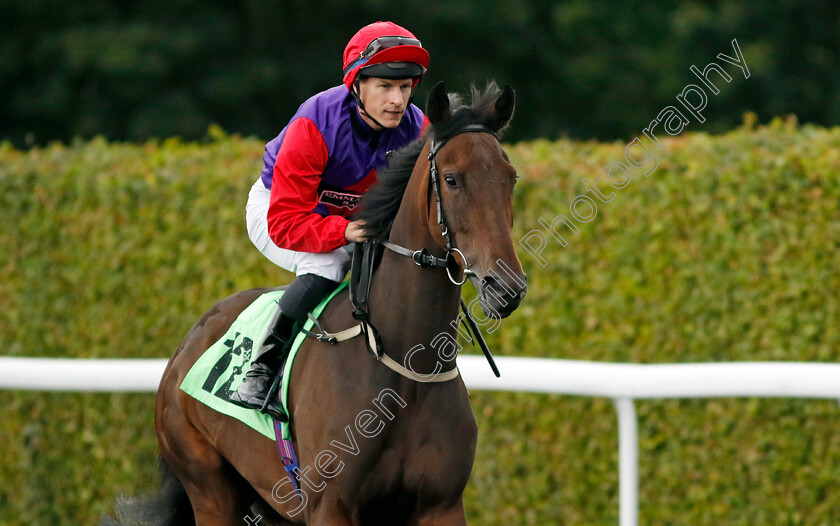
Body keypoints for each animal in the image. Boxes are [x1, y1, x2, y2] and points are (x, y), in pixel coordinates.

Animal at [132, 81, 528, 526]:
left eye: (510, 178)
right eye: (452, 178)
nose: (505, 286)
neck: (406, 369)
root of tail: (188, 343)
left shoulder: (441, 505)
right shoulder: (330, 504)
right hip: (209, 488)